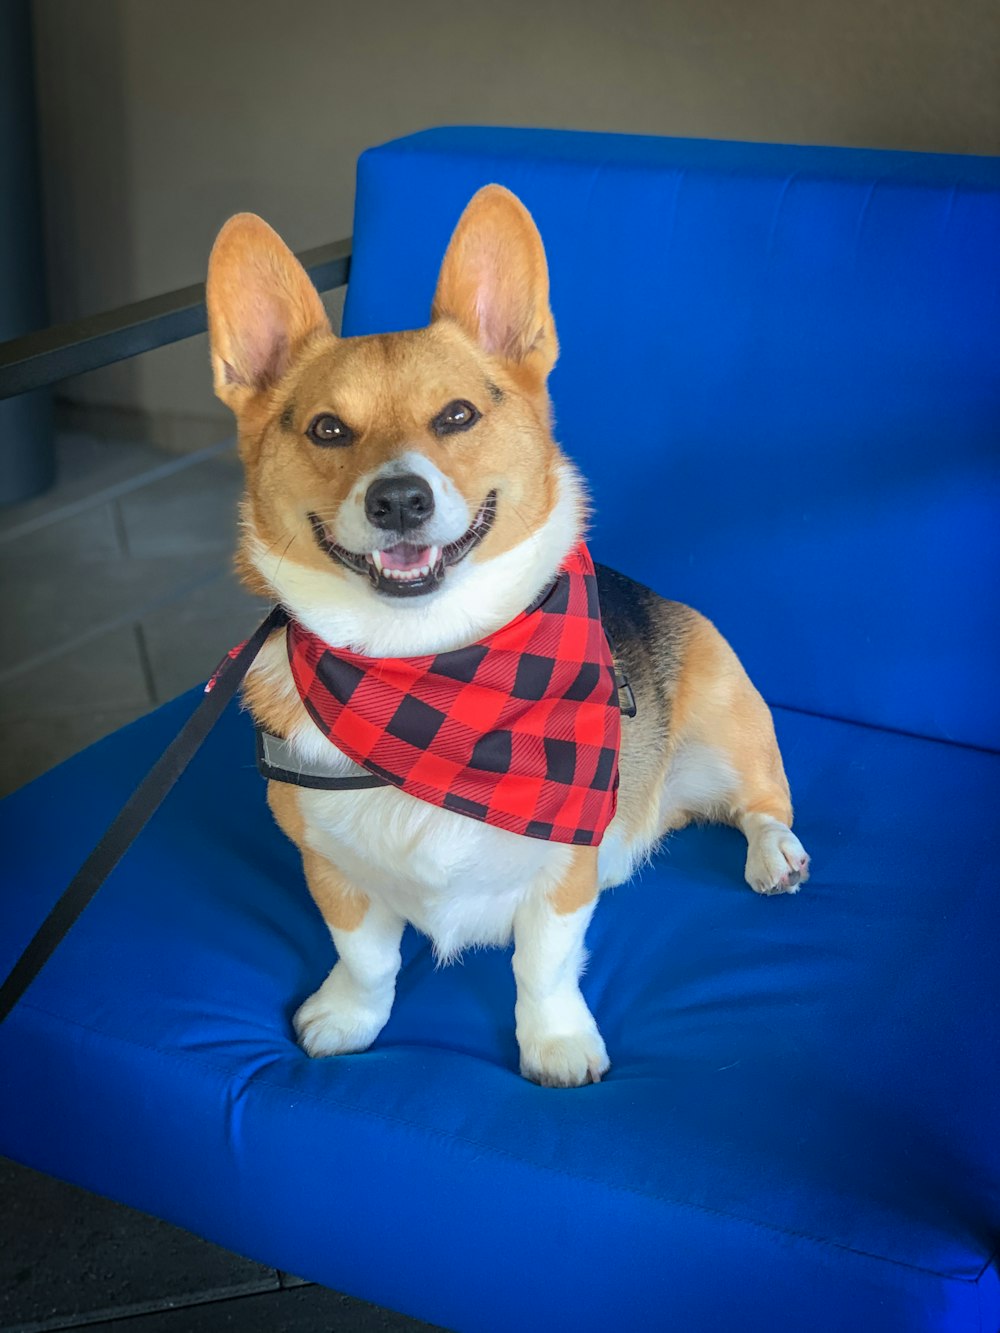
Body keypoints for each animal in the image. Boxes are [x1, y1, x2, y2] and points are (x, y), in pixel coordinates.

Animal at [208, 182, 810, 1087]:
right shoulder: (331, 868)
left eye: (457, 415)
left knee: (763, 804)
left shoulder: (564, 863)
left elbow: (544, 963)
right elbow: (365, 959)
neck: (428, 673)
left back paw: (774, 855)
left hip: (731, 719)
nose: (399, 500)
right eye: (327, 429)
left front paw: (555, 1044)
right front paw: (346, 1018)